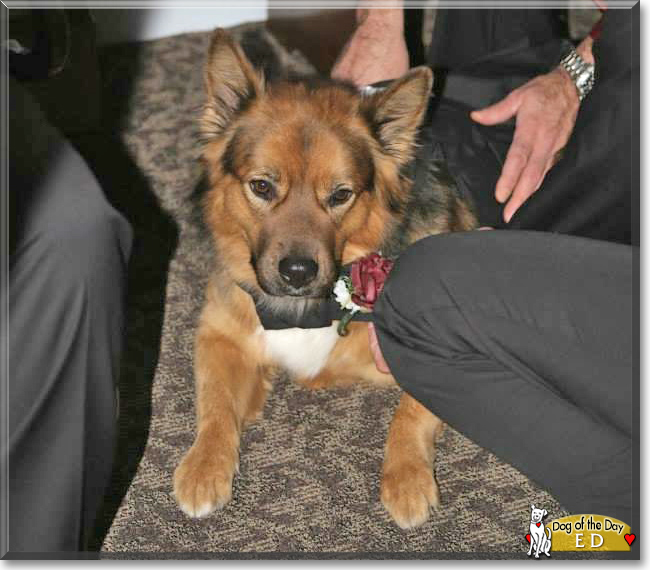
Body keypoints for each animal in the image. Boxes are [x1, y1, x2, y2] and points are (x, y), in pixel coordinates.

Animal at [172, 28, 474, 528]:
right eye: (261, 186)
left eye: (340, 195)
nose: (297, 272)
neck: (312, 308)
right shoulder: (221, 333)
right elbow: (214, 402)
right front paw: (203, 467)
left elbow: (410, 413)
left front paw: (407, 479)